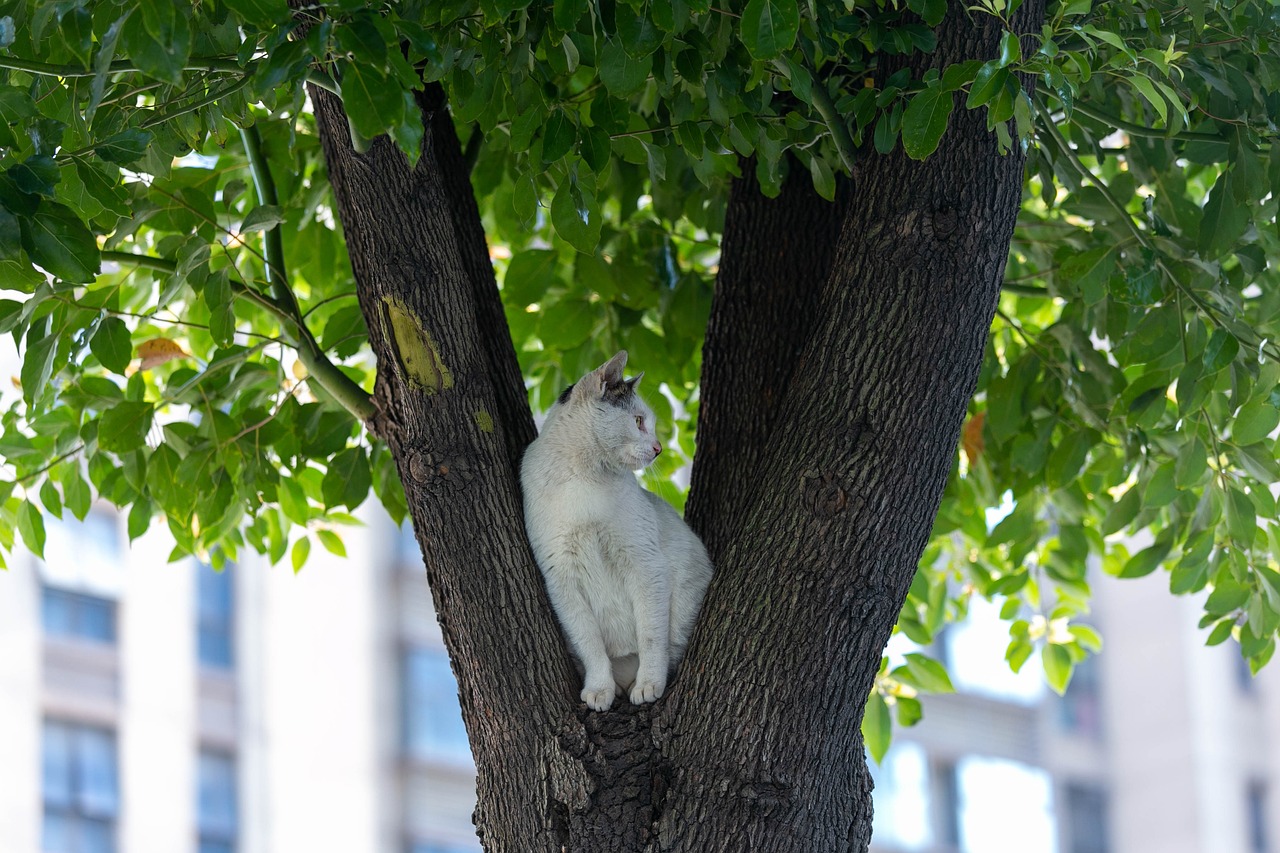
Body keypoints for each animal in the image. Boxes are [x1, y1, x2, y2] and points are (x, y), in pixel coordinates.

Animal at [524, 348, 716, 706]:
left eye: (650, 424)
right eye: (638, 421)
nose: (658, 449)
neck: (584, 478)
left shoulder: (646, 565)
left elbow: (651, 636)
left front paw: (649, 685)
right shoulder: (560, 579)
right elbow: (590, 644)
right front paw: (599, 689)